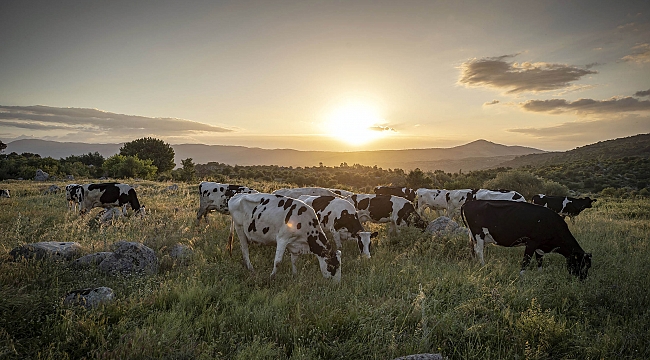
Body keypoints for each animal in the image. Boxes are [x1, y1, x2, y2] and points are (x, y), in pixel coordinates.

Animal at [458, 201, 588, 280]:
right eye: (582, 264)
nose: (583, 279)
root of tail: (468, 203)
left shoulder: (539, 246)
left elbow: (539, 260)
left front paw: (540, 274)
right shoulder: (532, 243)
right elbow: (526, 260)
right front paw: (521, 276)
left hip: (472, 235)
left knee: (473, 250)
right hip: (478, 234)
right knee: (479, 251)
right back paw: (483, 266)